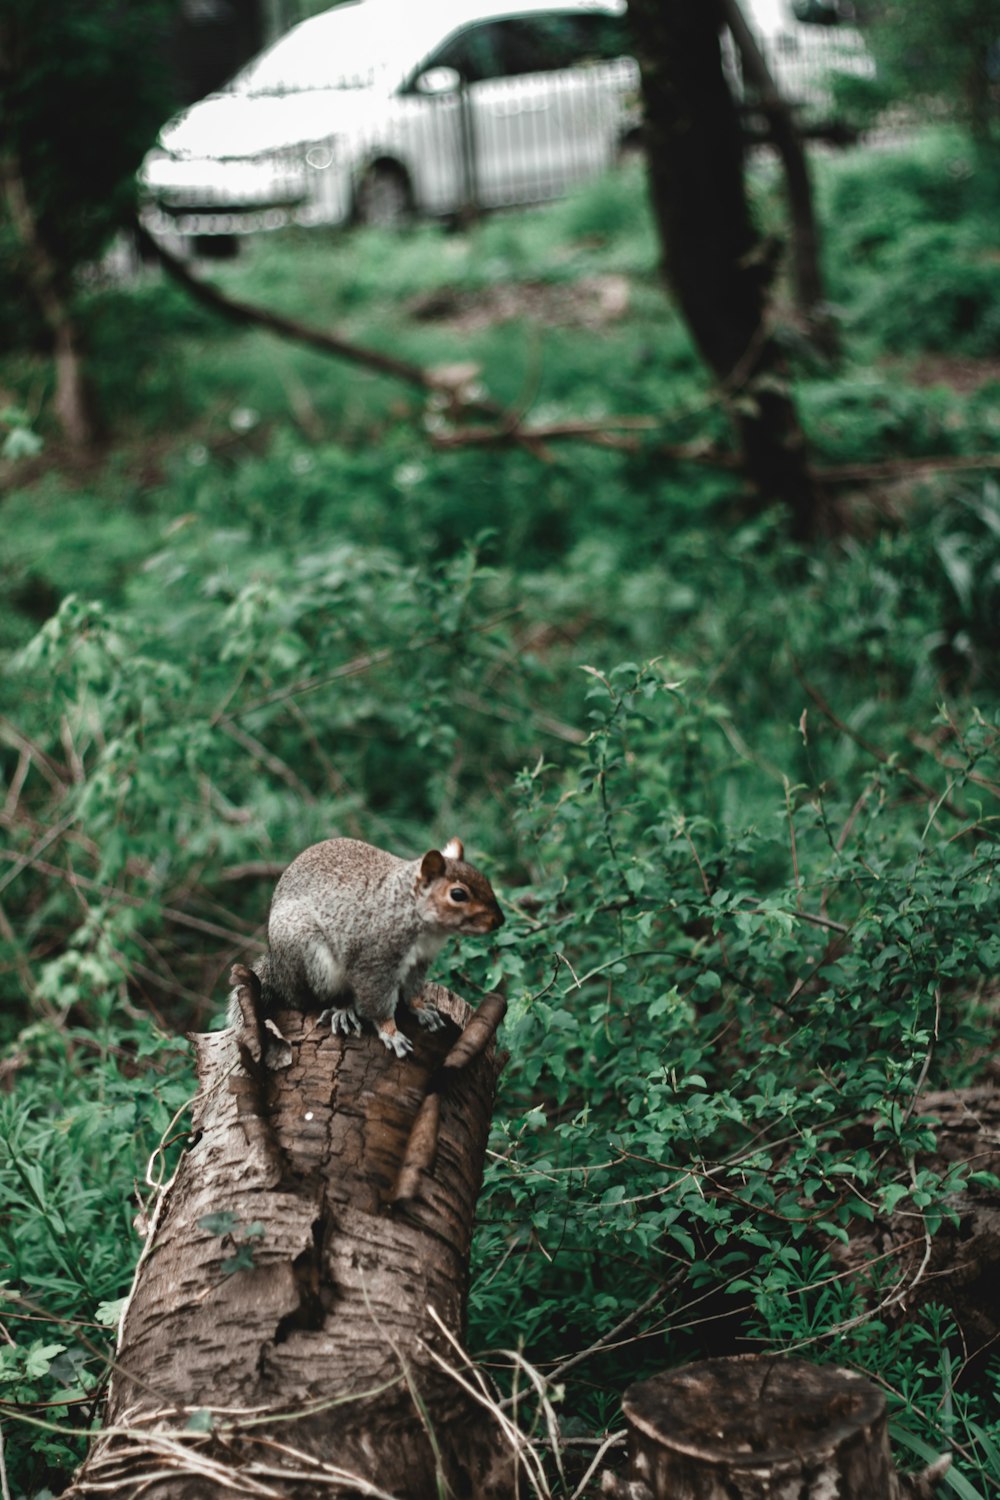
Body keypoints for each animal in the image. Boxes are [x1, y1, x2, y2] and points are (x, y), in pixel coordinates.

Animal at [232, 834, 500, 1056]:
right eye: (458, 894)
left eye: (485, 880)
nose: (499, 920)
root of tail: (278, 972)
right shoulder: (373, 962)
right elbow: (377, 1004)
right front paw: (391, 1033)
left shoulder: (420, 961)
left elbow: (413, 990)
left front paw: (421, 1008)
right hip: (310, 957)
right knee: (312, 999)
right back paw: (342, 1009)